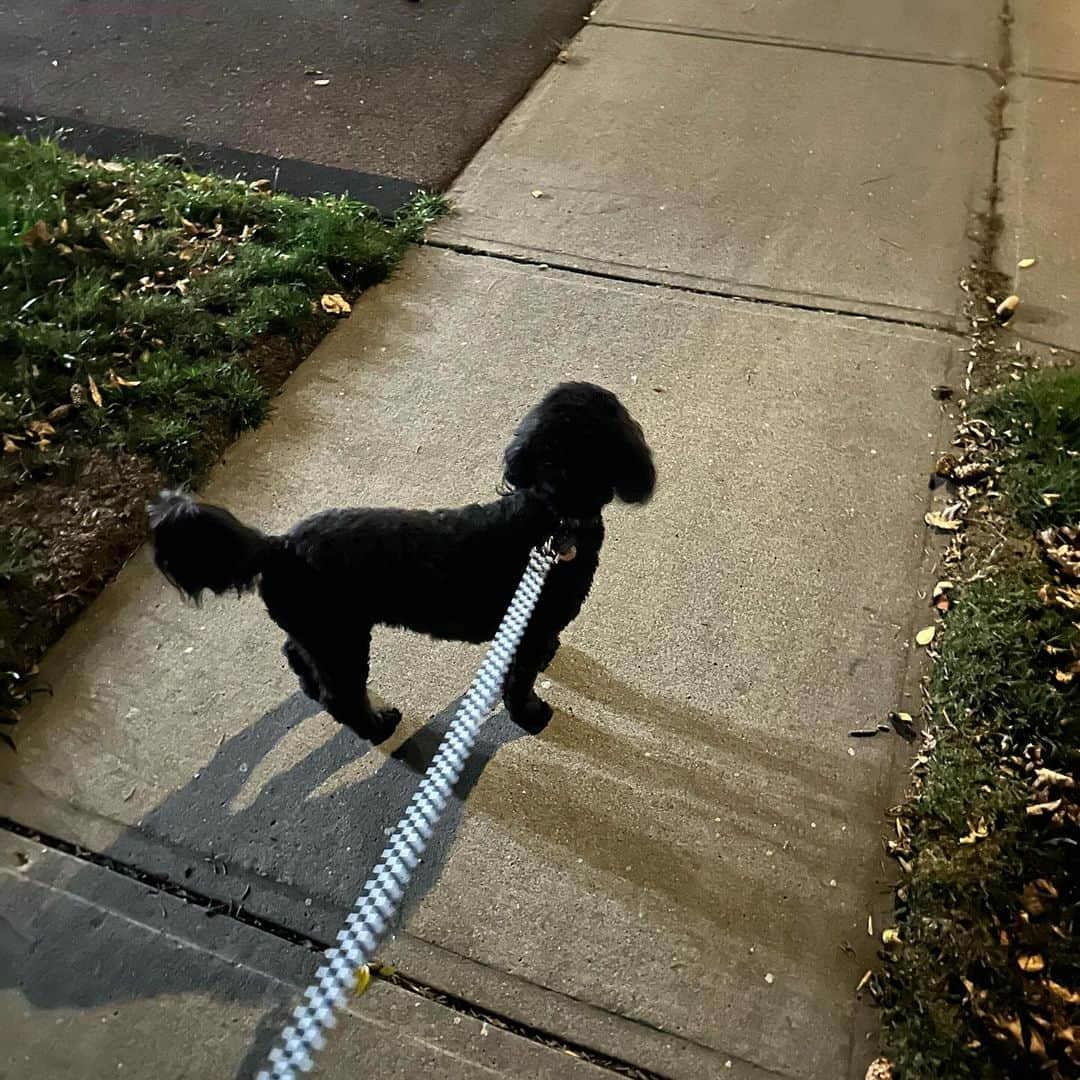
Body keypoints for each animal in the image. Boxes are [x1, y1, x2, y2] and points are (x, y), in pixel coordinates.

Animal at [147, 384, 652, 747]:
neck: (551, 512)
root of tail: (279, 546)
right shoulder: (530, 631)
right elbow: (520, 683)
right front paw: (531, 716)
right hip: (342, 638)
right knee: (342, 696)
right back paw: (377, 726)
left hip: (318, 633)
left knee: (297, 656)